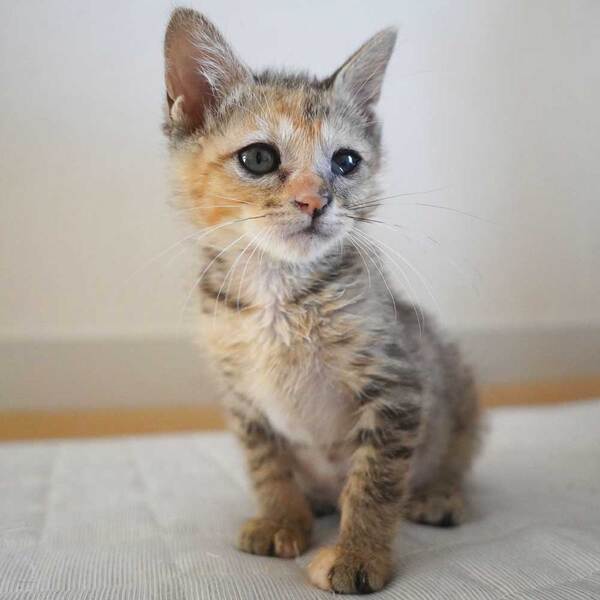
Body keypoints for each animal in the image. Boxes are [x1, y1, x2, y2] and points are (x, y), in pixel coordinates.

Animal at [163, 8, 481, 594]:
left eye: (346, 161)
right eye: (259, 157)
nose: (316, 201)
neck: (277, 294)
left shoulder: (396, 383)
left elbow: (375, 482)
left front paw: (358, 555)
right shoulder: (241, 396)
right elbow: (267, 465)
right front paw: (281, 518)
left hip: (456, 381)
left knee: (454, 455)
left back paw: (438, 494)